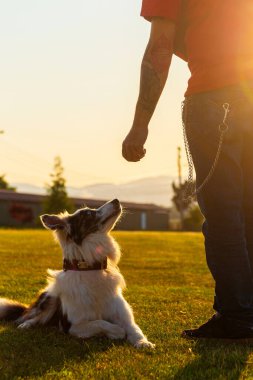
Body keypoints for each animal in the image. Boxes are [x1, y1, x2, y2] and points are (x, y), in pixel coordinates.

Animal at [0, 200, 154, 348]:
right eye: (88, 213)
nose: (116, 200)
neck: (90, 268)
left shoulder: (124, 316)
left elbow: (135, 329)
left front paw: (143, 342)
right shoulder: (72, 326)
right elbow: (100, 323)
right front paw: (117, 332)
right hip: (50, 297)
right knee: (32, 317)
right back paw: (26, 324)